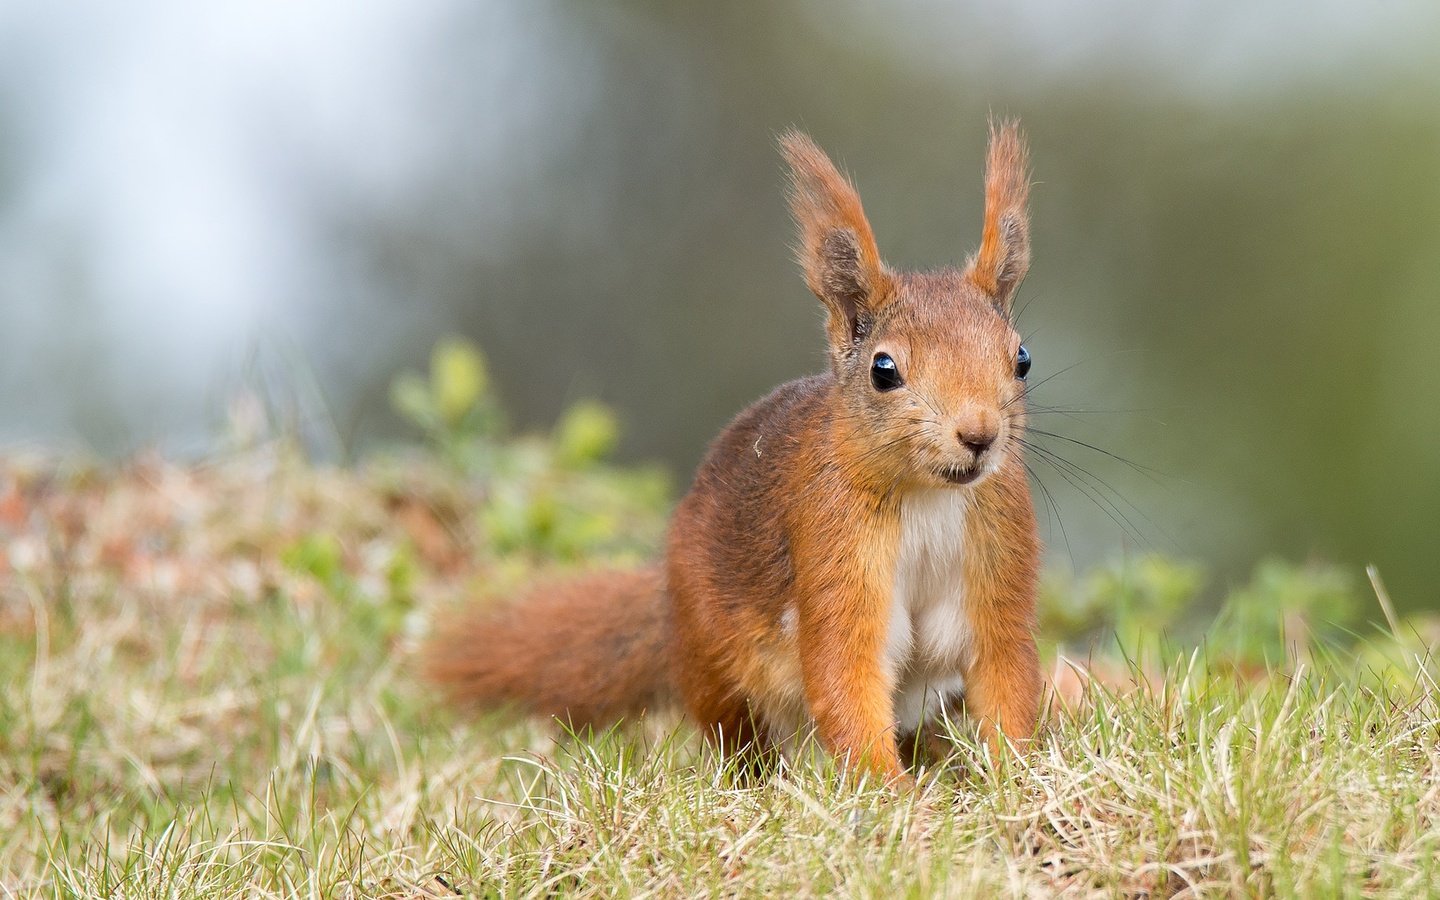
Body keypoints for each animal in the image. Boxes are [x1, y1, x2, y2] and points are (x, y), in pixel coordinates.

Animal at [420, 119, 1042, 777]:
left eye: (1022, 358)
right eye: (884, 370)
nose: (979, 436)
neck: (929, 495)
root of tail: (666, 602)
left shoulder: (999, 557)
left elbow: (1004, 670)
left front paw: (1013, 775)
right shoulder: (832, 548)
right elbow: (845, 675)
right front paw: (892, 792)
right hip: (715, 660)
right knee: (738, 733)